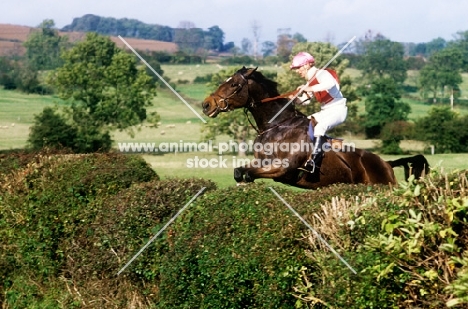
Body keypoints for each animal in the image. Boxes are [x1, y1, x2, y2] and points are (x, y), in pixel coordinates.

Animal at [203, 66, 430, 189]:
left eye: (234, 85)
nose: (207, 105)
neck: (276, 126)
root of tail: (387, 164)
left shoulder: (283, 168)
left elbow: (247, 172)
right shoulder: (262, 164)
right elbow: (240, 171)